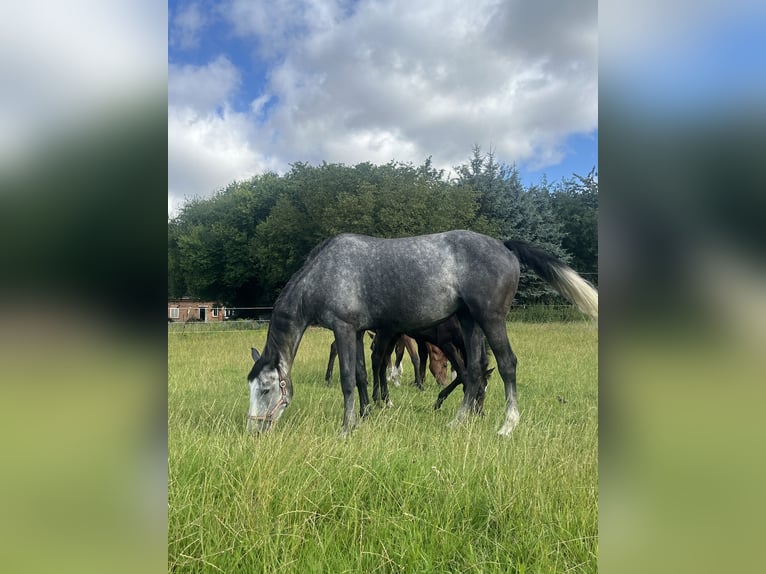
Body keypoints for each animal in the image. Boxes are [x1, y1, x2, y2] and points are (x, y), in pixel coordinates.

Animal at [249, 230, 596, 436]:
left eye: (265, 390)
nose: (254, 430)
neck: (324, 273)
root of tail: (504, 245)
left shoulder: (344, 328)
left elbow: (347, 380)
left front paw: (346, 428)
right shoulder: (358, 332)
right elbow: (362, 374)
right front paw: (366, 415)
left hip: (491, 318)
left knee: (506, 364)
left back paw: (507, 426)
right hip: (469, 322)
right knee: (474, 371)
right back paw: (458, 421)